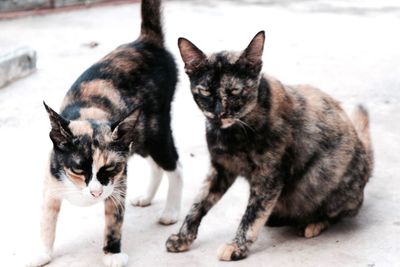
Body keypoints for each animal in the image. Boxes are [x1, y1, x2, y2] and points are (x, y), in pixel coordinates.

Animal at [28, 1, 183, 266]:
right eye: (78, 169)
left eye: (109, 168)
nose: (95, 192)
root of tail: (145, 42)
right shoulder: (52, 179)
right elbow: (46, 220)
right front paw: (43, 252)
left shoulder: (118, 182)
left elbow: (114, 220)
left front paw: (112, 253)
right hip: (138, 135)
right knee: (156, 165)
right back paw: (147, 197)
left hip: (155, 128)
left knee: (174, 165)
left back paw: (171, 211)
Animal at [165, 31, 372, 262]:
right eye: (206, 92)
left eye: (235, 91)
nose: (219, 114)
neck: (231, 134)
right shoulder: (221, 169)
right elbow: (198, 203)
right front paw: (183, 237)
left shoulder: (268, 176)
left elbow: (253, 213)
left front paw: (237, 246)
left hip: (323, 179)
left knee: (337, 213)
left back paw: (314, 223)